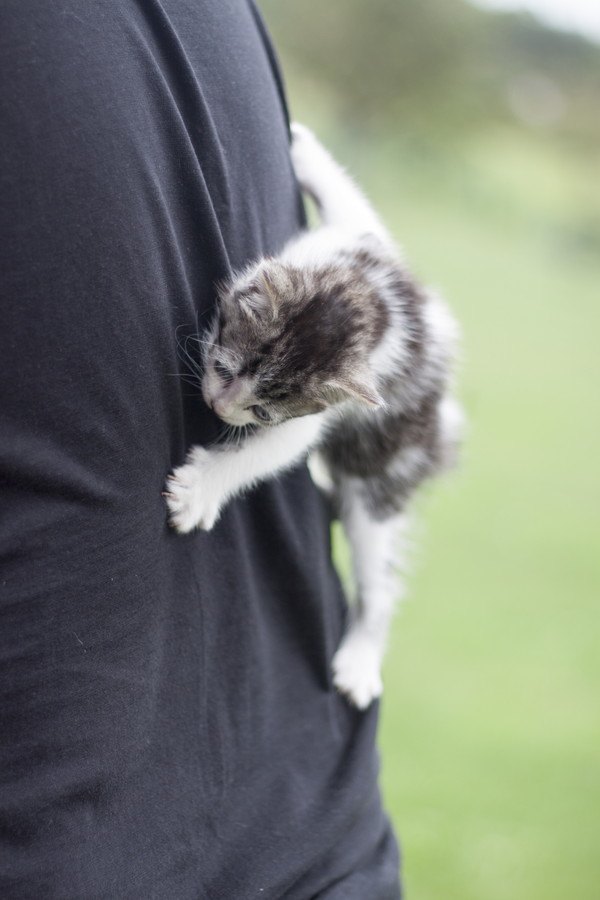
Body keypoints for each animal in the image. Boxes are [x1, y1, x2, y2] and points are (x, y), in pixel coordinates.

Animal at [166, 121, 462, 712]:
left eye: (261, 408)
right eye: (223, 366)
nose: (218, 406)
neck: (366, 298)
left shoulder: (309, 417)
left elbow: (271, 451)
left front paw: (202, 489)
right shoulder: (357, 238)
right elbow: (353, 204)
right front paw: (306, 149)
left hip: (384, 478)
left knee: (379, 579)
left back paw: (361, 658)